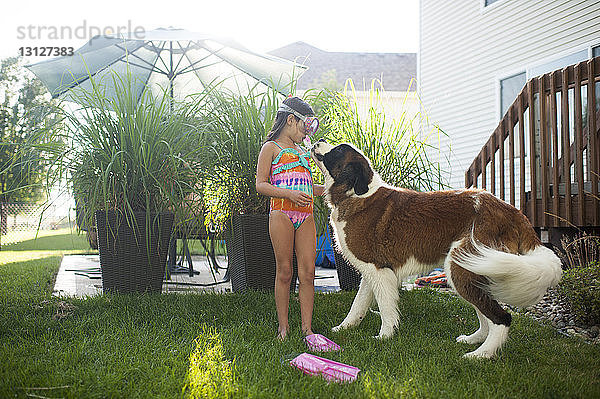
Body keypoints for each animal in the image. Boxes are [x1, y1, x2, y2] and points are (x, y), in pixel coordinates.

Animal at [310, 140, 564, 360]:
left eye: (338, 150)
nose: (318, 140)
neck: (355, 193)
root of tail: (511, 210)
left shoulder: (379, 270)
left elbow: (386, 308)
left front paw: (385, 336)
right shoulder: (372, 272)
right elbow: (358, 304)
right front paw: (344, 327)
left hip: (461, 266)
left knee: (501, 317)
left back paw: (480, 355)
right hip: (473, 270)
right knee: (486, 312)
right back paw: (474, 340)